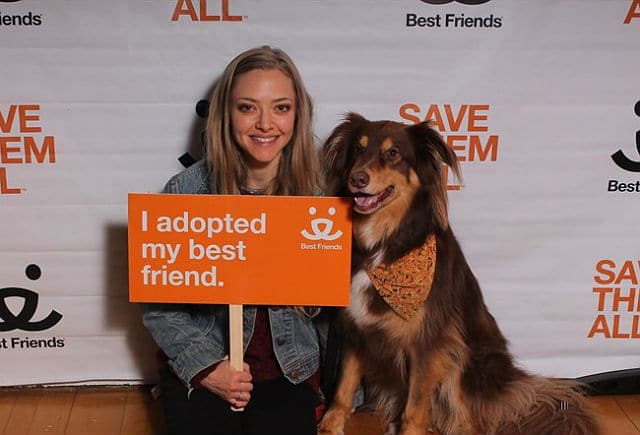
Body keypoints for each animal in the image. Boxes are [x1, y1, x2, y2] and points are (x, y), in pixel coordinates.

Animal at [318, 113, 600, 435]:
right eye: (357, 149)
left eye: (393, 154)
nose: (357, 179)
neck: (384, 246)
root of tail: (509, 382)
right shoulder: (355, 329)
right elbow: (344, 384)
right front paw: (330, 425)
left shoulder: (428, 343)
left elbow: (414, 408)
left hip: (464, 359)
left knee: (469, 420)